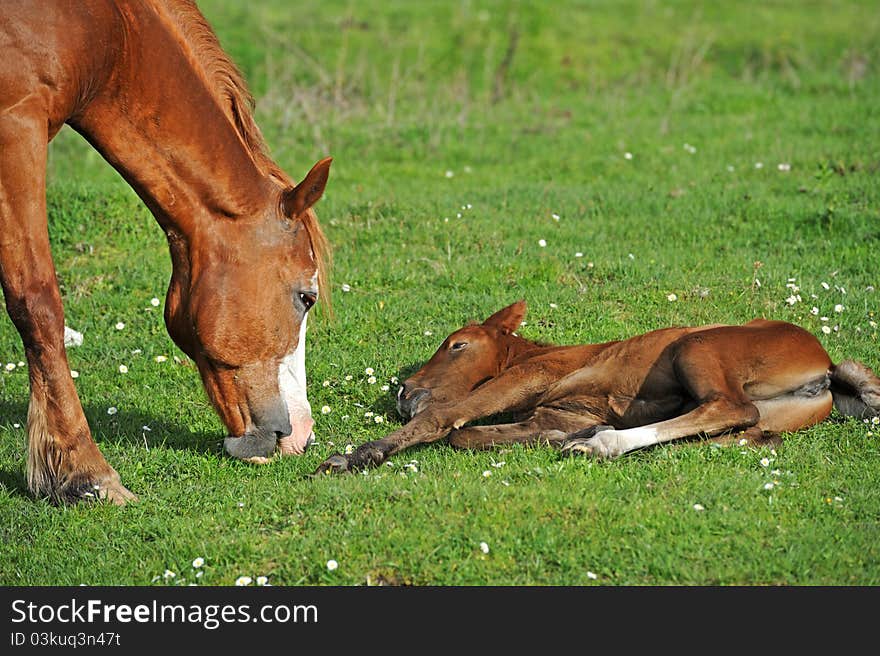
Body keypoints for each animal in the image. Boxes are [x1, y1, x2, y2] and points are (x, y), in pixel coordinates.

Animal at [0, 0, 330, 504]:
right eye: (305, 297)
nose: (304, 434)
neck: (111, 32)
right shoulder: (16, 128)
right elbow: (37, 304)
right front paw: (84, 472)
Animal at [314, 300, 880, 474]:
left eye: (456, 345)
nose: (403, 391)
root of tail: (826, 365)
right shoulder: (559, 411)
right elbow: (468, 435)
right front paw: (561, 440)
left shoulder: (526, 378)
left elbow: (445, 420)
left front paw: (354, 456)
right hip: (771, 417)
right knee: (754, 432)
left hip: (696, 346)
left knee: (729, 408)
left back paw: (603, 445)